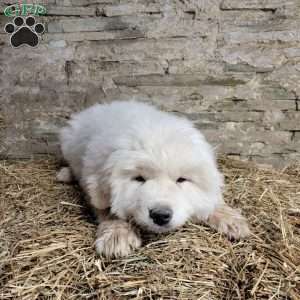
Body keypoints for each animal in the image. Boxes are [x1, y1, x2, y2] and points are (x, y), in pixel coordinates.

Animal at [57, 101, 250, 258]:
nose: (160, 215)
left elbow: (213, 197)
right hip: (68, 143)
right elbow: (107, 207)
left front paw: (231, 219)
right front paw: (118, 235)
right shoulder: (93, 180)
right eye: (139, 179)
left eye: (181, 180)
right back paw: (64, 174)